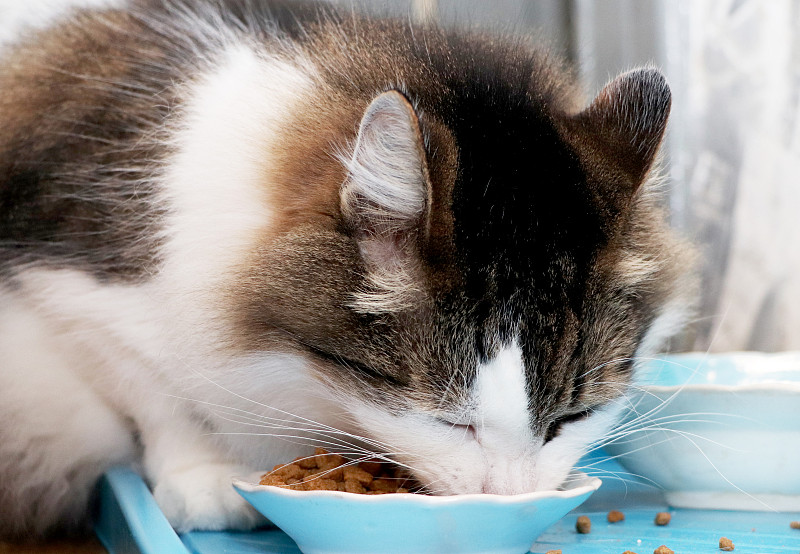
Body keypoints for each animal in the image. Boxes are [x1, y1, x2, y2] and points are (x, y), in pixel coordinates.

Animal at [0, 0, 692, 540]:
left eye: (570, 419)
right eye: (449, 421)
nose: (509, 497)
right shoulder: (68, 290)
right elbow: (156, 394)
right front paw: (203, 478)